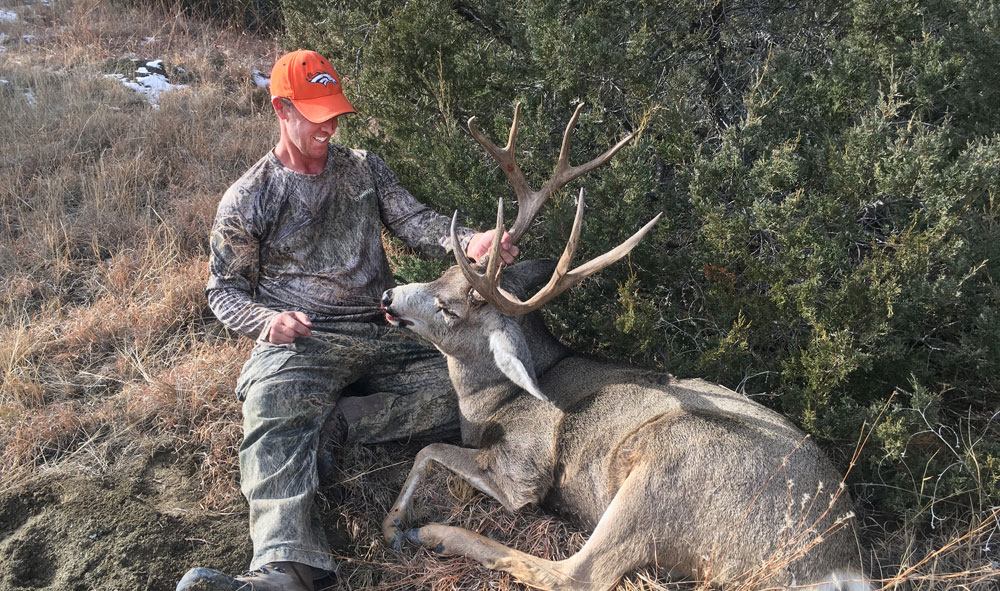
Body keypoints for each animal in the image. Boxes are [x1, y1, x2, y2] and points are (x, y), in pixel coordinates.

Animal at [378, 104, 864, 588]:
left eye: (449, 309)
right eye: (441, 272)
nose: (387, 297)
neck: (495, 401)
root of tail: (837, 568)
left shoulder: (521, 467)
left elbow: (430, 450)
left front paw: (394, 524)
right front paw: (396, 523)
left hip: (665, 471)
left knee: (578, 573)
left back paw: (435, 533)